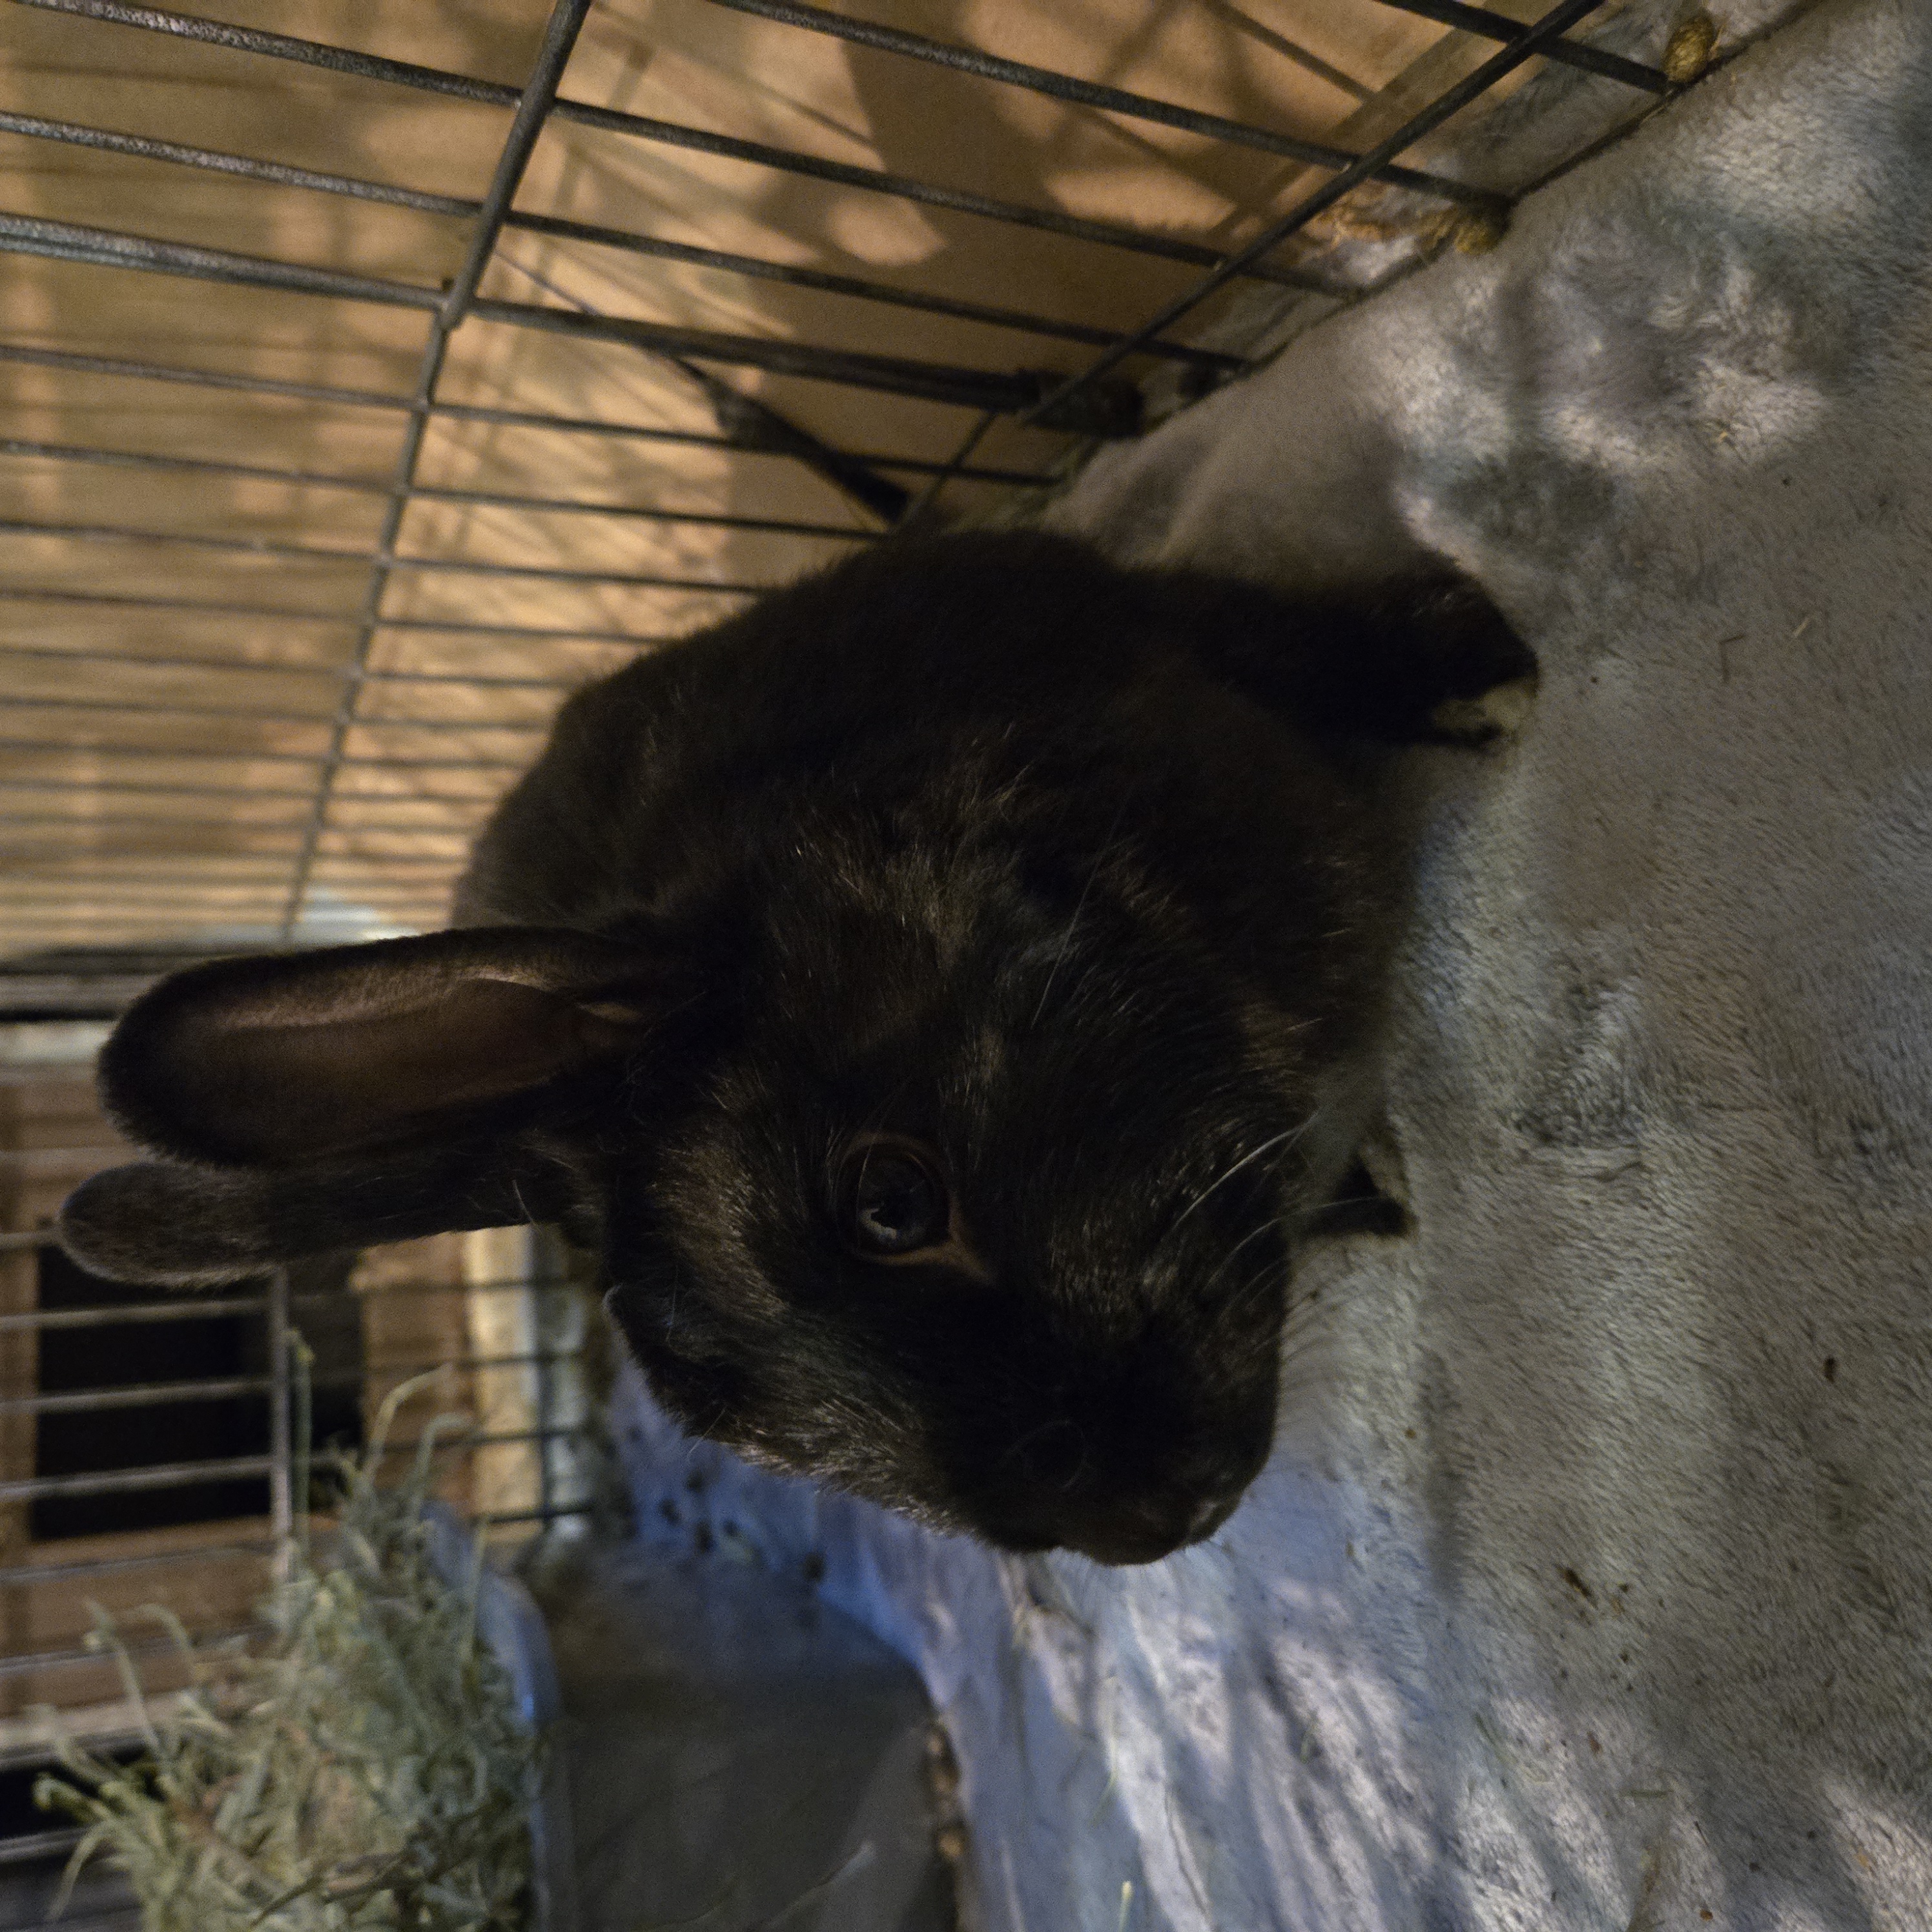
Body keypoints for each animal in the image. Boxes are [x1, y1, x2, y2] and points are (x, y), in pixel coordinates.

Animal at [58, 530, 1533, 1565]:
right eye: (728, 1419)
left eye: (888, 1202)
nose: (1153, 1518)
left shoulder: (1147, 617)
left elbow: (1296, 641)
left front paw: (1478, 669)